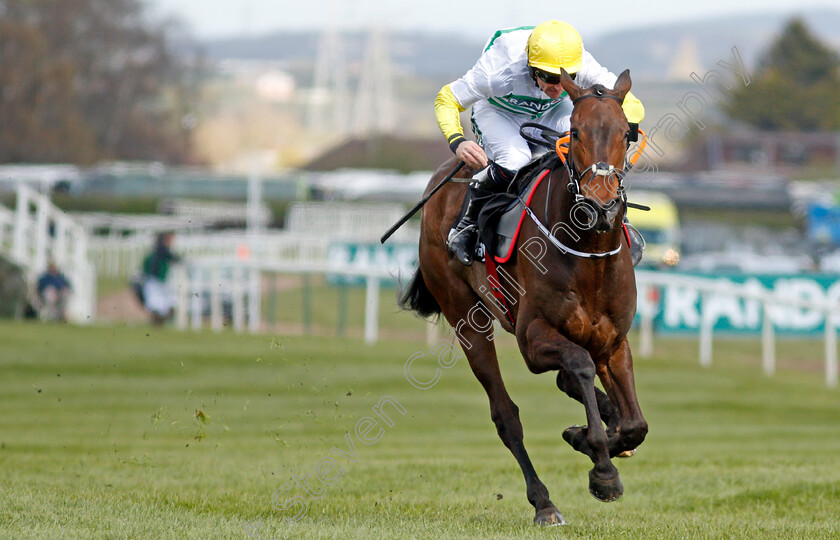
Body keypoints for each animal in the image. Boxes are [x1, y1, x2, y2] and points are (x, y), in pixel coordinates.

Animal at [400, 69, 648, 524]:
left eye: (627, 133)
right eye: (575, 131)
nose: (602, 206)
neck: (588, 254)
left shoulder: (613, 342)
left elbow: (635, 423)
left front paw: (595, 435)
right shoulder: (533, 338)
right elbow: (579, 365)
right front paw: (601, 467)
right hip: (467, 319)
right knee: (506, 415)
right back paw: (544, 502)